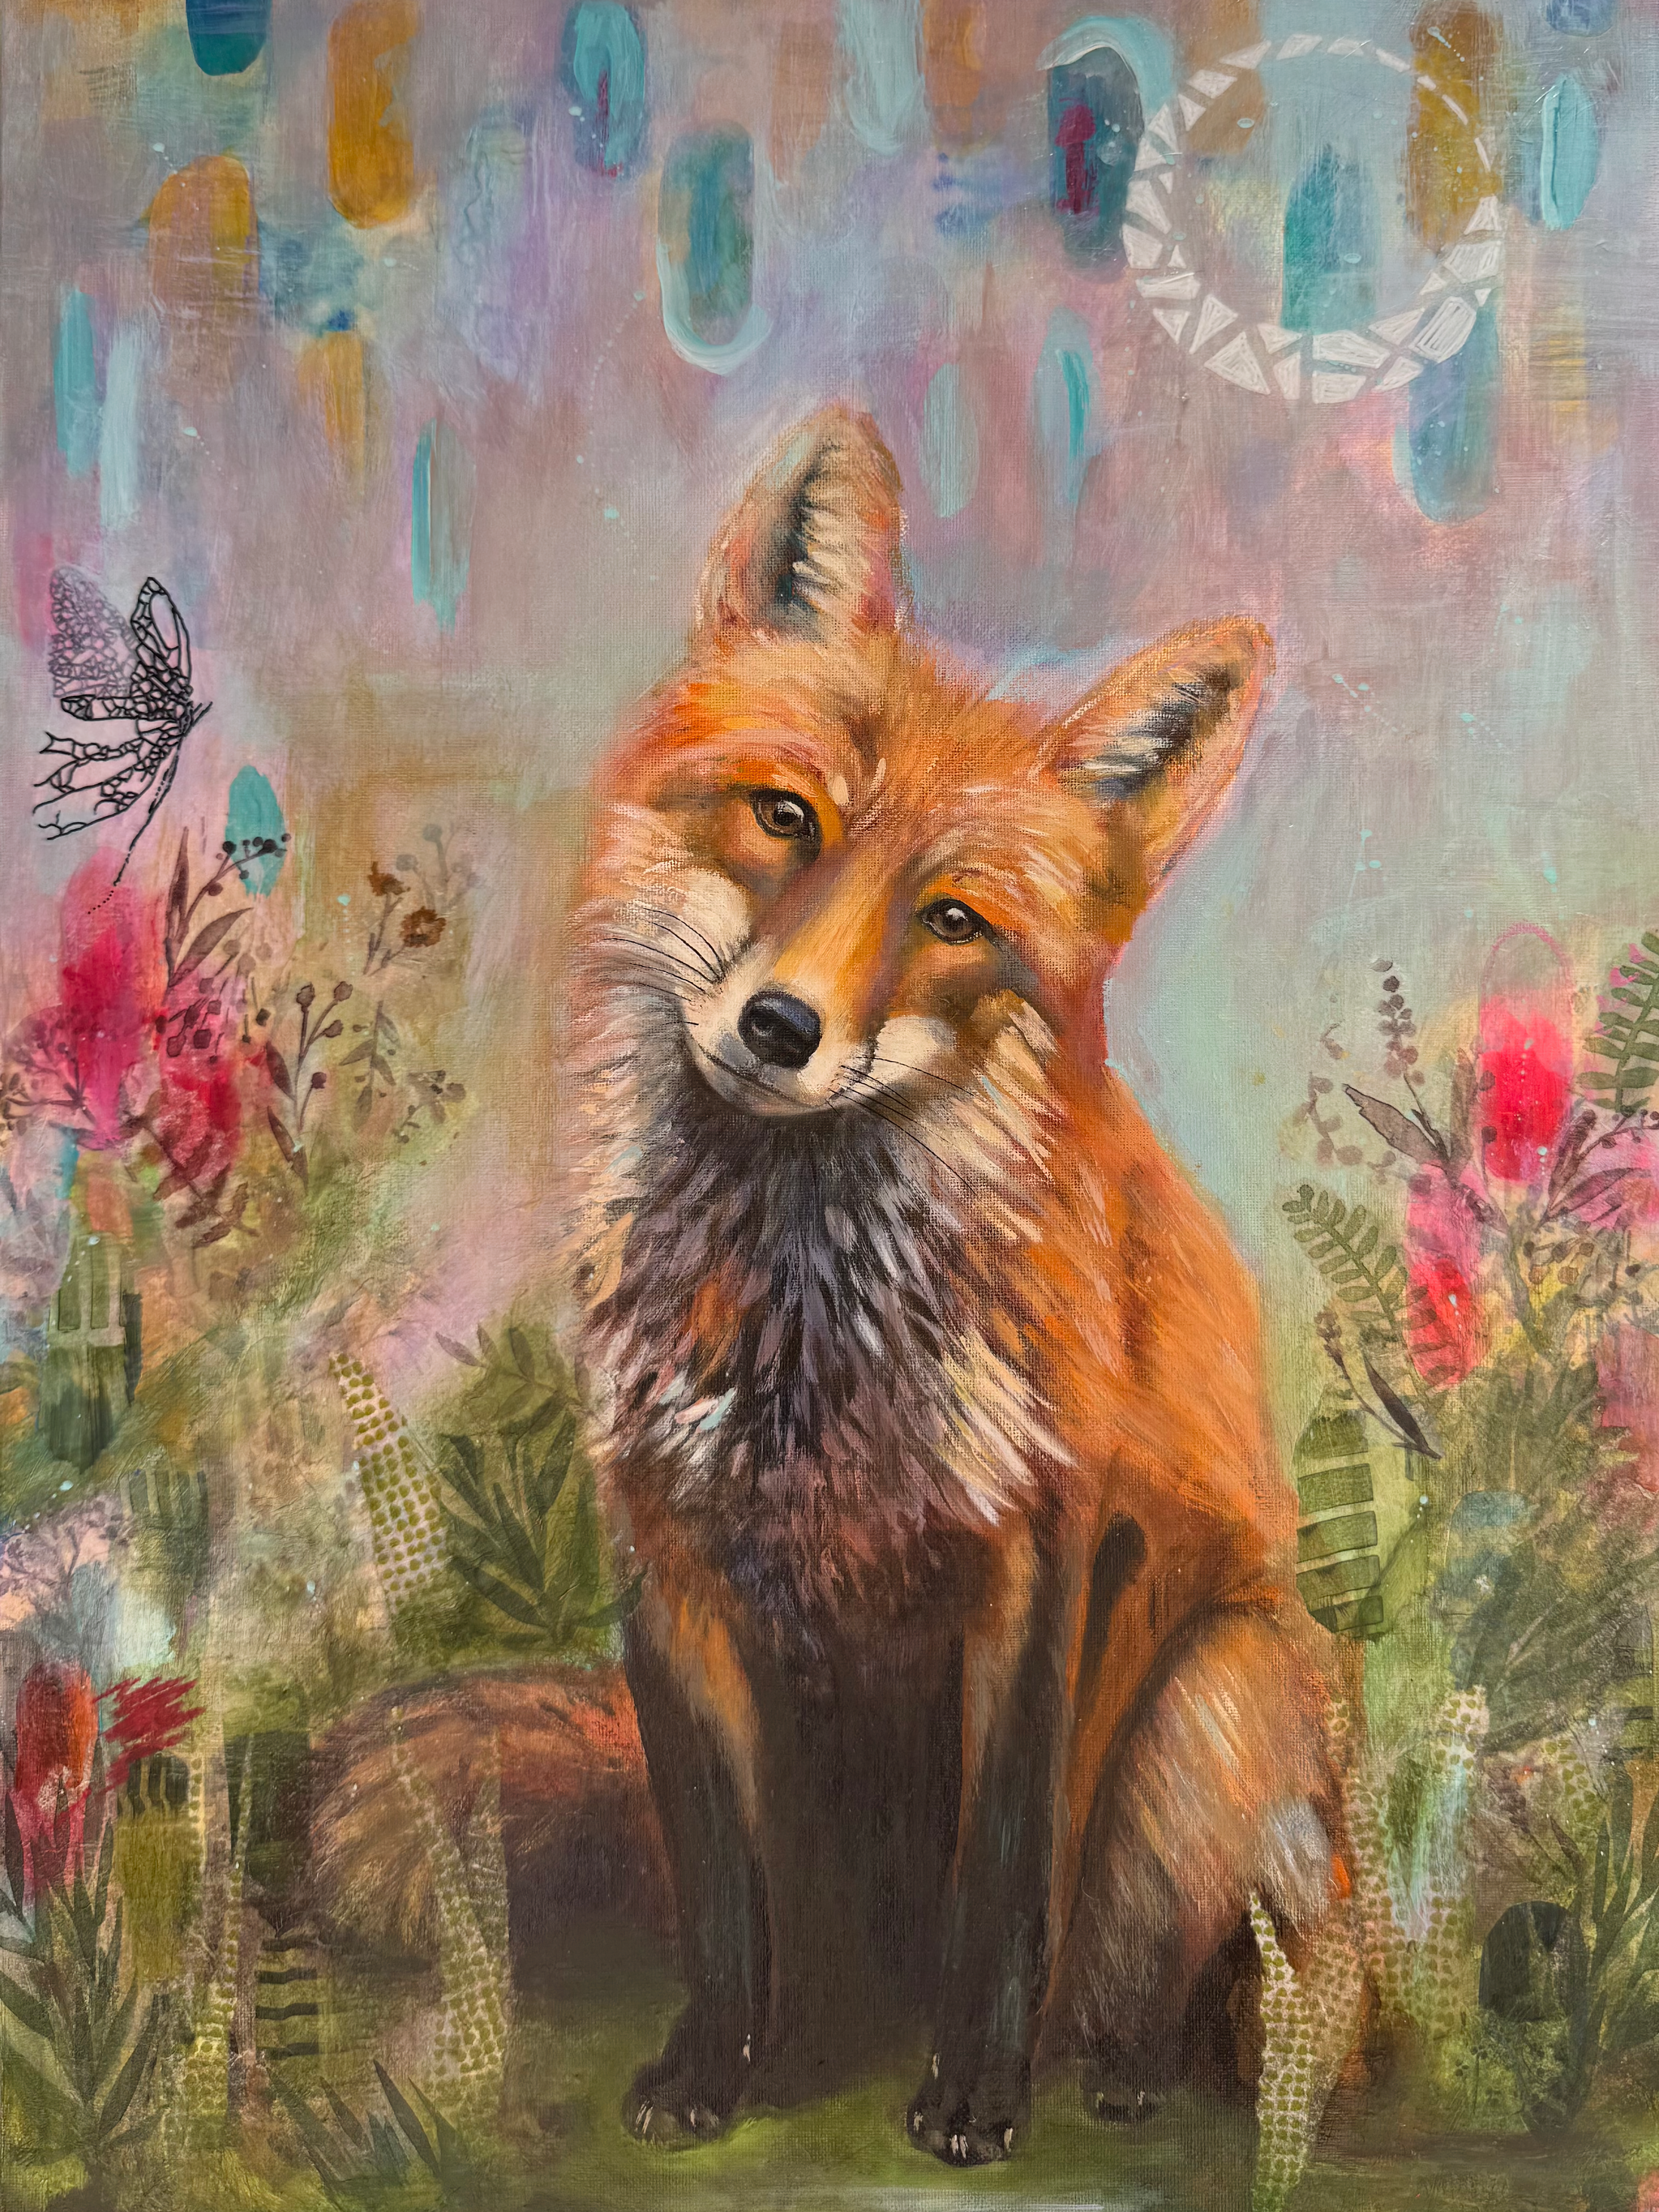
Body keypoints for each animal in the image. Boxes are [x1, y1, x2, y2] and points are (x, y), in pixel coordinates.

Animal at [552, 402, 1344, 2164]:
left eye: (955, 918)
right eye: (786, 818)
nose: (779, 1026)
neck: (801, 1342)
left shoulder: (1042, 1548)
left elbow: (1004, 1871)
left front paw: (976, 2089)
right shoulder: (662, 1548)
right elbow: (722, 1889)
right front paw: (716, 2066)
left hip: (1213, 1695)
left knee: (1177, 1974)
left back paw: (1117, 2066)